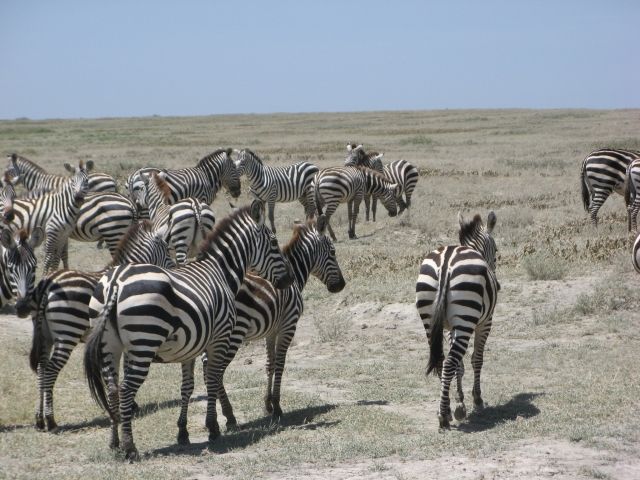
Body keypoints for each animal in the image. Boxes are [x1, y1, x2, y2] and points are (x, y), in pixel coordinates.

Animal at [28, 219, 175, 434]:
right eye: (168, 253)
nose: (176, 272)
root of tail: (49, 282)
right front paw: (129, 405)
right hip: (67, 332)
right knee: (50, 371)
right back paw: (51, 420)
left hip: (44, 333)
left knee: (41, 368)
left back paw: (39, 420)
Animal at [84, 200, 292, 462]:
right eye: (274, 243)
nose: (289, 280)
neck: (221, 272)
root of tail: (115, 282)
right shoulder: (219, 338)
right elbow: (212, 379)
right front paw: (213, 427)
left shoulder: (191, 345)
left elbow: (187, 387)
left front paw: (183, 432)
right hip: (143, 341)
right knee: (126, 389)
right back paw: (130, 447)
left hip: (109, 346)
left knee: (112, 389)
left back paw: (114, 444)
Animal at [416, 212, 500, 430]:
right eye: (497, 252)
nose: (497, 285)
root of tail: (446, 262)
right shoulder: (484, 323)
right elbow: (476, 359)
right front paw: (476, 400)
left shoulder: (449, 327)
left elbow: (459, 365)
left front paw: (459, 401)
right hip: (466, 318)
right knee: (448, 362)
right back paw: (444, 418)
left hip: (431, 320)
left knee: (441, 361)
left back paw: (444, 410)